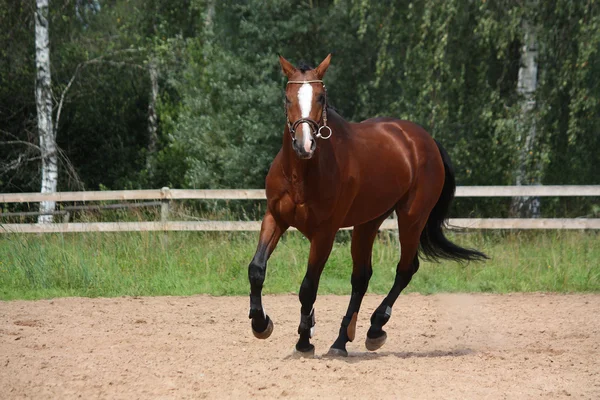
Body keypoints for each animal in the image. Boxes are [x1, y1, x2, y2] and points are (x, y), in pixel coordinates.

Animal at [248, 53, 488, 356]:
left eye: (321, 97)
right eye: (288, 97)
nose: (305, 145)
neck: (302, 173)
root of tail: (425, 140)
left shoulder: (324, 234)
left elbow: (308, 287)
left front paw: (304, 340)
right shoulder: (275, 218)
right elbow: (256, 269)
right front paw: (261, 324)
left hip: (412, 217)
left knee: (405, 269)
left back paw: (375, 329)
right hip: (368, 222)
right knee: (361, 277)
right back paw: (340, 341)